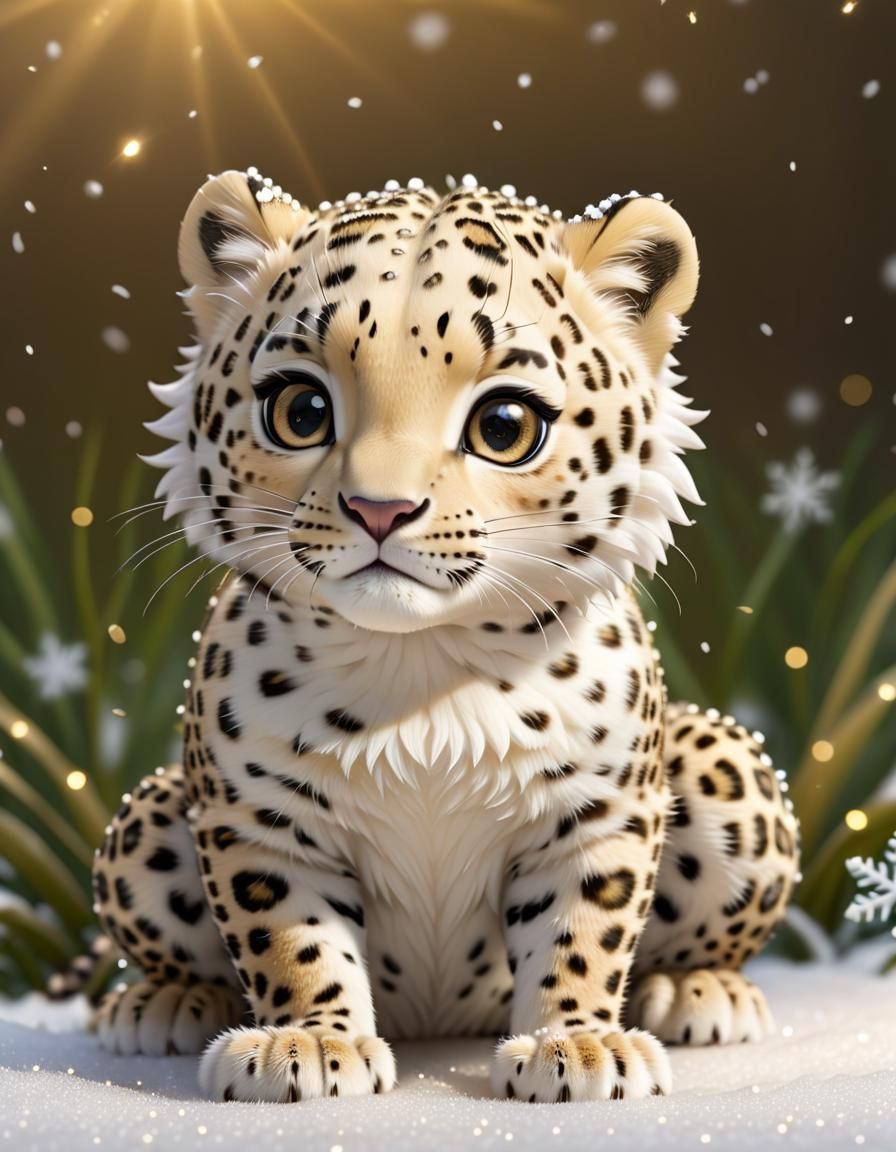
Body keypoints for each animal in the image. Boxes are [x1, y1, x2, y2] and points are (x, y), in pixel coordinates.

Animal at [90, 168, 800, 1104]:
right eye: (301, 409)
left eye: (504, 426)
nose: (379, 509)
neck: (420, 674)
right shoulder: (259, 820)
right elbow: (291, 938)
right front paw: (310, 1043)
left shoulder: (596, 813)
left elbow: (585, 930)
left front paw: (578, 1046)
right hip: (153, 814)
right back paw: (163, 1003)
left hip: (726, 766)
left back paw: (696, 989)